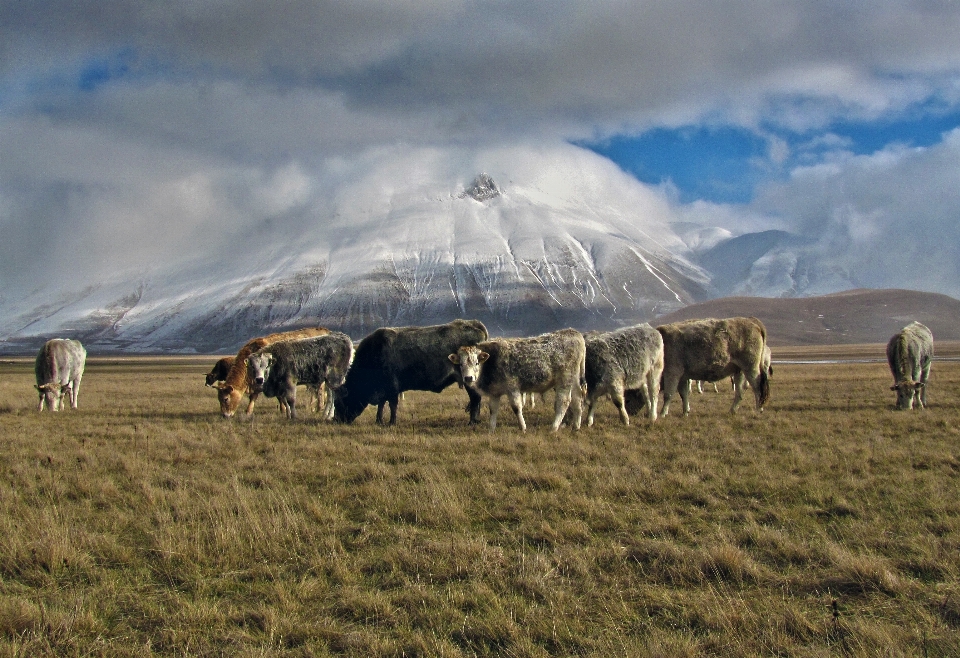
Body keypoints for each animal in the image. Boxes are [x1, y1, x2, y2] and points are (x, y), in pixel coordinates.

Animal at [336, 320, 492, 426]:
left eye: (341, 401)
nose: (336, 420)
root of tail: (474, 324)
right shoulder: (385, 389)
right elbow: (381, 405)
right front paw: (379, 421)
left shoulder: (392, 388)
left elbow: (392, 405)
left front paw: (391, 422)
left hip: (469, 380)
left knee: (475, 399)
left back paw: (472, 421)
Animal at [448, 326, 584, 430]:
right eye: (461, 364)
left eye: (476, 363)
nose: (468, 378)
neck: (492, 360)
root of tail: (573, 332)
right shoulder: (494, 392)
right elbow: (493, 409)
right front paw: (491, 429)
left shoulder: (512, 388)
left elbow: (516, 408)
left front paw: (523, 427)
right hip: (574, 379)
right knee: (578, 398)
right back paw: (576, 426)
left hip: (564, 380)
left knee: (564, 401)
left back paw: (554, 427)